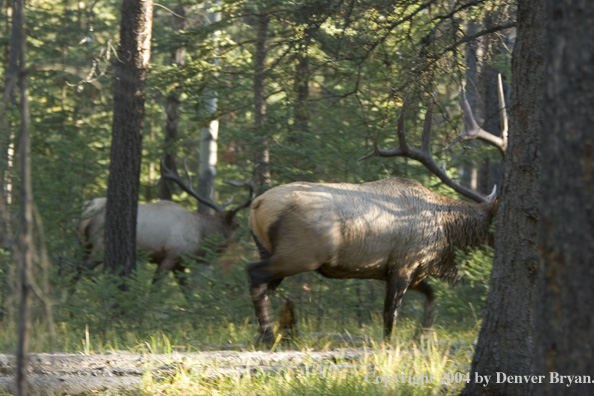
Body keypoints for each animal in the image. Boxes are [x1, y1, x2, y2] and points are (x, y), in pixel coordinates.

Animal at [76, 161, 252, 294]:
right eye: (237, 225)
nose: (245, 237)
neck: (200, 236)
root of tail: (84, 212)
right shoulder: (170, 256)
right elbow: (155, 289)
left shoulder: (180, 264)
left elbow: (188, 293)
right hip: (99, 244)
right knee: (84, 269)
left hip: (84, 244)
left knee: (74, 269)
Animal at [245, 85, 504, 344]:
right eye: (494, 223)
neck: (445, 237)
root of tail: (257, 204)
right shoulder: (404, 263)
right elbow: (390, 315)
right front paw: (391, 344)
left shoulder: (403, 271)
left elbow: (431, 295)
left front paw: (422, 335)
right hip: (301, 253)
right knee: (254, 273)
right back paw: (267, 336)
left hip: (268, 247)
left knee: (264, 285)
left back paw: (263, 334)